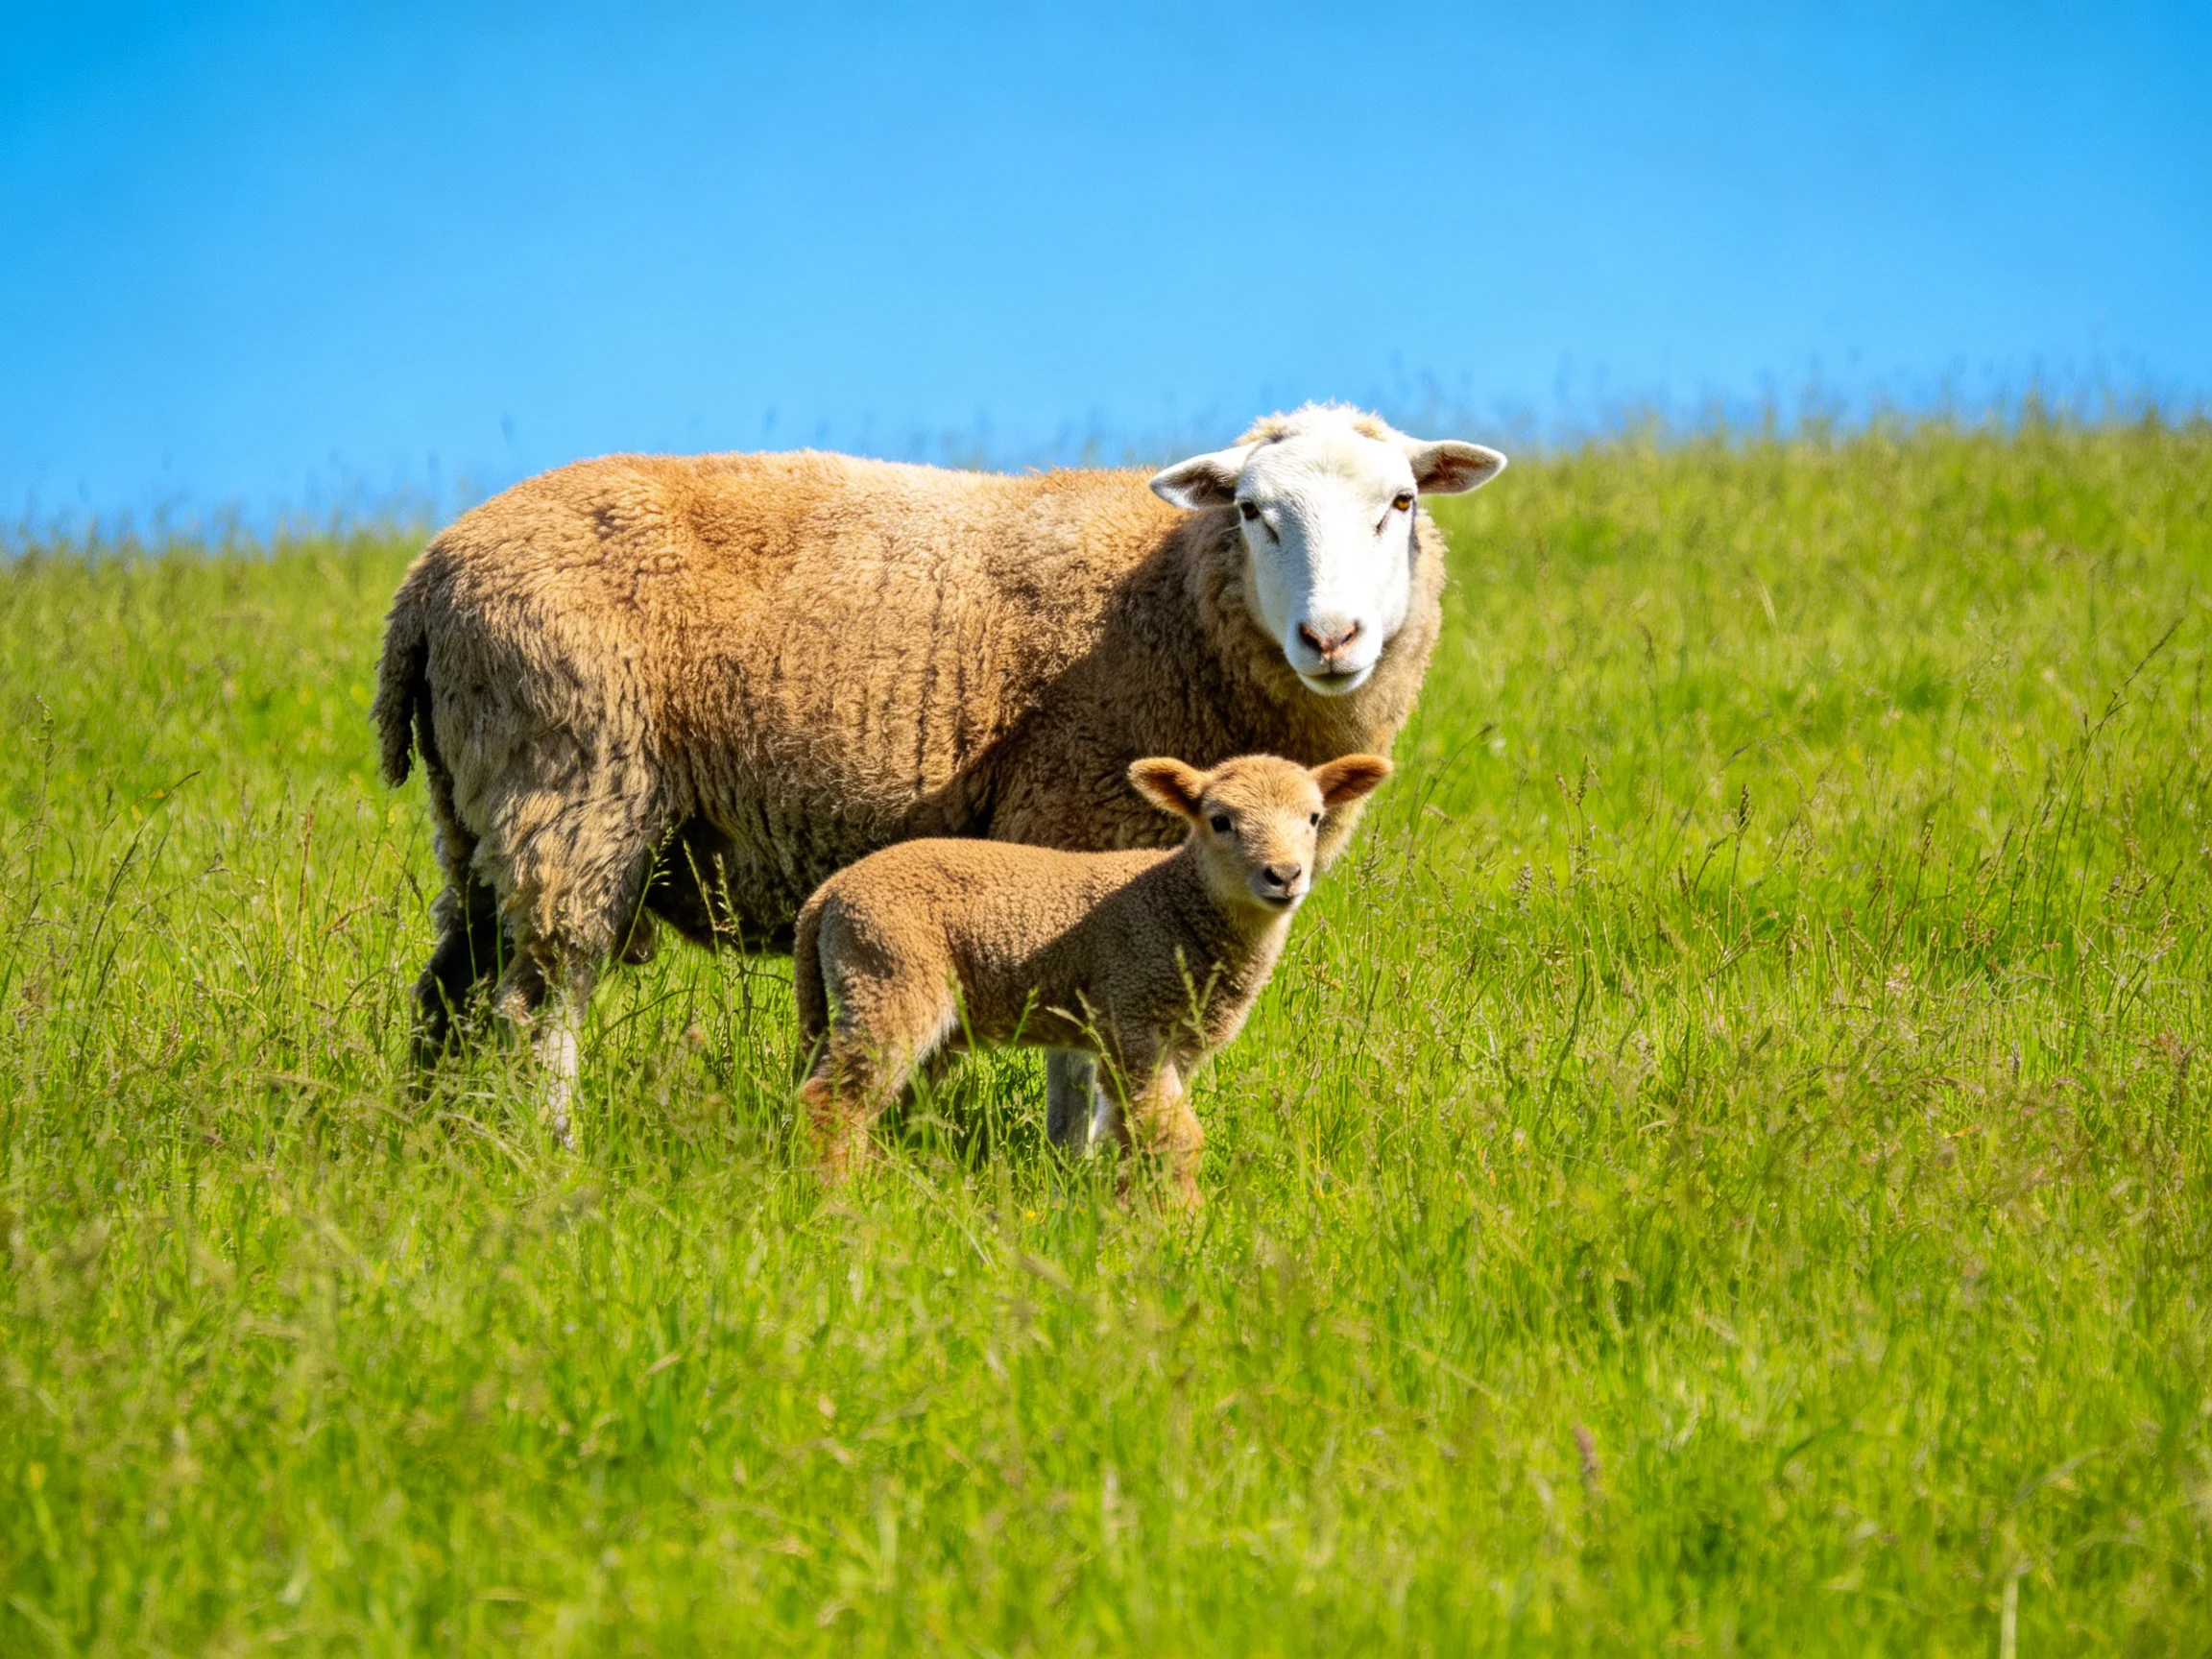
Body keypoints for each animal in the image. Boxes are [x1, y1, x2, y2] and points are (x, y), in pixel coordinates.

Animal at [372, 404, 1505, 1145]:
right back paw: (551, 1158)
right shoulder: (1074, 822)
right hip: (572, 783)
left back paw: (430, 1146)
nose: (1332, 636)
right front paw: (1072, 1173)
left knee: (450, 994)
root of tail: (428, 576)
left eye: (1403, 502)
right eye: (1254, 512)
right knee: (540, 1009)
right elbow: (1080, 1053)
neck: (1168, 600)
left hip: (477, 807)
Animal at [794, 752, 1394, 1202]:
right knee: (831, 1102)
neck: (1176, 902)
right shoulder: (1131, 1017)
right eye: (1220, 820)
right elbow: (1176, 1139)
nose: (1284, 876)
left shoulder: (1176, 1042)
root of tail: (826, 897)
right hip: (887, 977)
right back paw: (836, 1199)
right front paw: (1182, 1225)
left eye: (1313, 817)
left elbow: (1137, 1131)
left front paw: (1135, 1209)